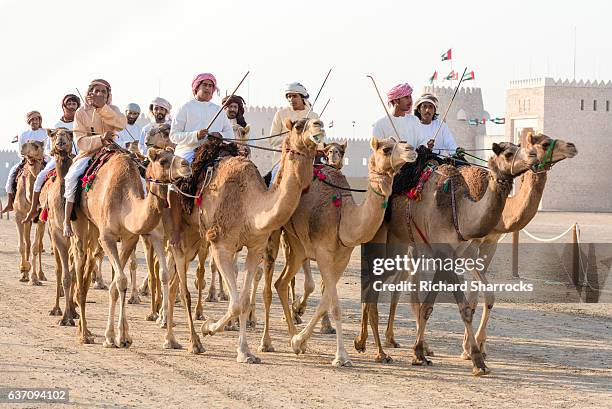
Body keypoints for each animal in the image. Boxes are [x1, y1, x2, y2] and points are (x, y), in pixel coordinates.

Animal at [69, 145, 190, 346]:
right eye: (162, 161)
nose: (187, 165)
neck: (125, 203)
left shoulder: (129, 238)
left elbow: (118, 283)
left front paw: (123, 336)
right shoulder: (107, 238)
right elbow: (120, 280)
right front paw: (110, 337)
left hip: (95, 229)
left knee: (90, 261)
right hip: (78, 219)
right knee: (79, 258)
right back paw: (83, 332)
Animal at [196, 118, 328, 364]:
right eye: (298, 125)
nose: (319, 125)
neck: (251, 206)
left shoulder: (255, 247)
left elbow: (243, 301)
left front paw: (244, 351)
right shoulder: (220, 244)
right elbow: (236, 303)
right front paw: (208, 327)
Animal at [256, 137, 418, 366]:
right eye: (386, 149)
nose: (411, 149)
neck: (344, 218)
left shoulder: (343, 258)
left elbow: (325, 302)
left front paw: (299, 341)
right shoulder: (324, 253)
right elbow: (335, 306)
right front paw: (341, 356)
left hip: (297, 245)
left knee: (281, 282)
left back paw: (293, 336)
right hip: (275, 231)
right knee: (268, 287)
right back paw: (266, 342)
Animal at [356, 141, 536, 376]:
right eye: (507, 153)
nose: (534, 156)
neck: (459, 210)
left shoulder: (452, 254)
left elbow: (431, 305)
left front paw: (419, 353)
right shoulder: (448, 252)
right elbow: (464, 307)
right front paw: (477, 361)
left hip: (400, 244)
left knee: (375, 284)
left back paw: (364, 343)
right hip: (381, 238)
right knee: (372, 283)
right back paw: (376, 350)